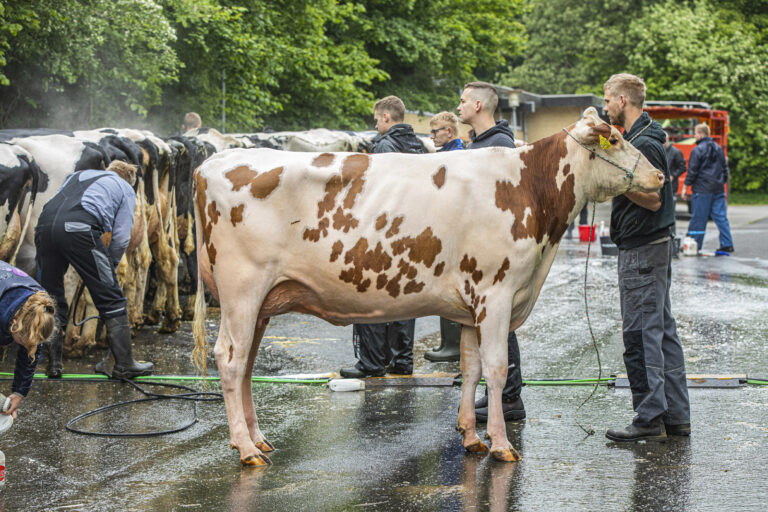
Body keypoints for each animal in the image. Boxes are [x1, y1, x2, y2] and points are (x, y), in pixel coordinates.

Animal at [192, 108, 664, 464]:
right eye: (615, 139)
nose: (660, 176)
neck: (529, 188)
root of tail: (210, 163)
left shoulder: (473, 304)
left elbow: (471, 368)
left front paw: (471, 437)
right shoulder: (497, 293)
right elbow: (497, 368)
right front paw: (501, 444)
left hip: (262, 303)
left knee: (247, 364)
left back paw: (256, 438)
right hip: (242, 291)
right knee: (230, 360)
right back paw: (246, 449)